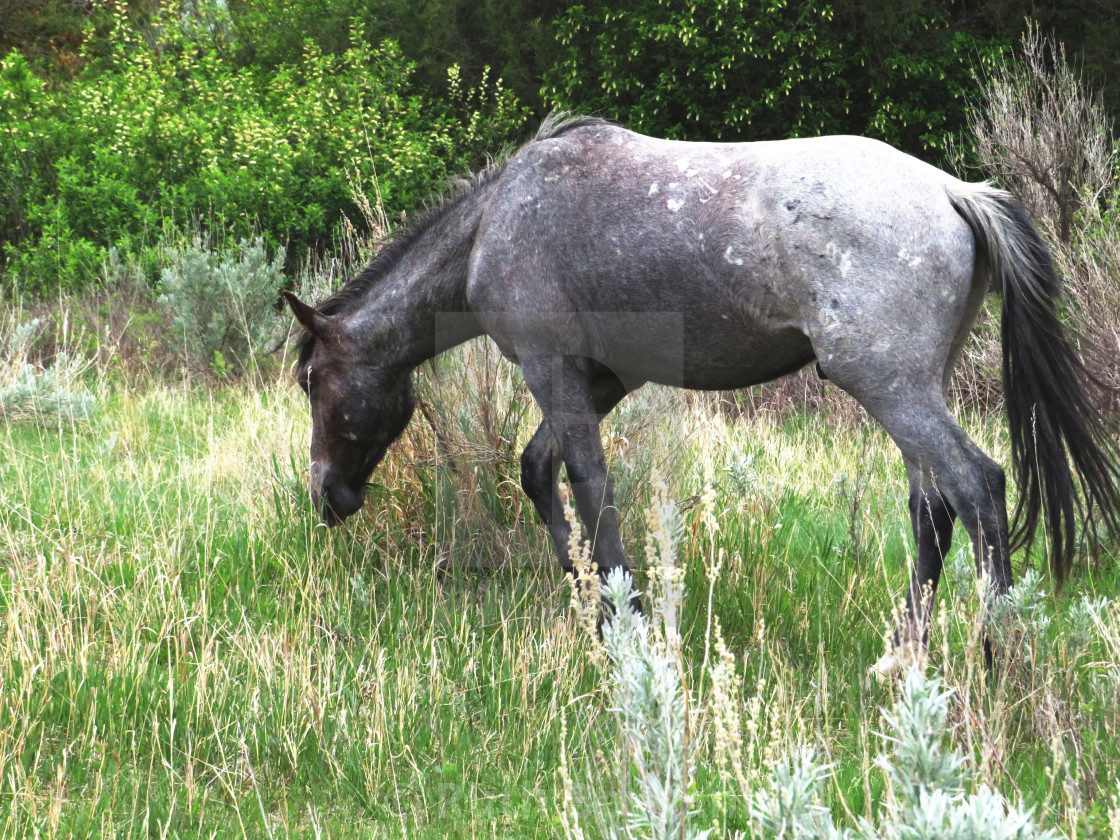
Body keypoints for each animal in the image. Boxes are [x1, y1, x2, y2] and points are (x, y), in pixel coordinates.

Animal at [286, 115, 1120, 676]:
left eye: (311, 380)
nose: (326, 492)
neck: (494, 222)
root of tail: (954, 191)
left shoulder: (552, 370)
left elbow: (589, 484)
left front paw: (623, 622)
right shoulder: (601, 377)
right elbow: (540, 472)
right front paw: (590, 603)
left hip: (891, 386)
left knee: (977, 488)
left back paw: (998, 660)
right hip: (915, 388)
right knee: (932, 507)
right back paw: (902, 658)